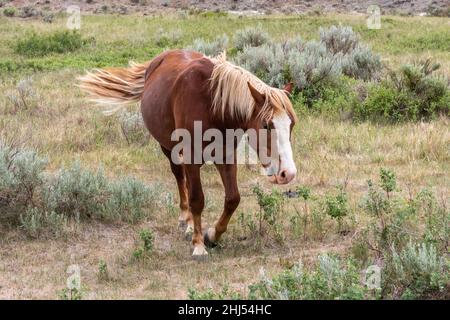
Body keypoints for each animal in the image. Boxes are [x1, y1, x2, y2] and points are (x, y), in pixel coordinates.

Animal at [80, 50, 298, 260]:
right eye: (266, 125)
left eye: (291, 124)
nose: (288, 173)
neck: (212, 105)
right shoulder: (191, 157)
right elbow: (197, 199)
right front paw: (199, 244)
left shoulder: (226, 156)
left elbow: (232, 198)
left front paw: (212, 235)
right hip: (168, 149)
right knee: (179, 177)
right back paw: (186, 218)